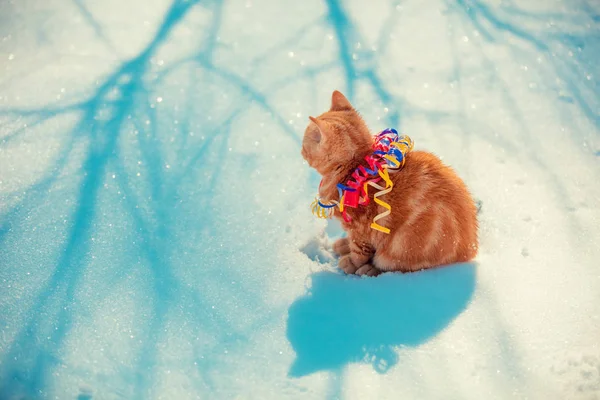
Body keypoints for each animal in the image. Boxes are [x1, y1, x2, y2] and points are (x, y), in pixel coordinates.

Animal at [300, 91, 478, 276]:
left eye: (305, 143)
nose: (300, 150)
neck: (355, 167)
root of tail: (470, 251)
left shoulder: (360, 230)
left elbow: (359, 251)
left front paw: (352, 262)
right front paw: (345, 246)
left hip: (399, 250)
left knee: (390, 266)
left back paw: (368, 268)